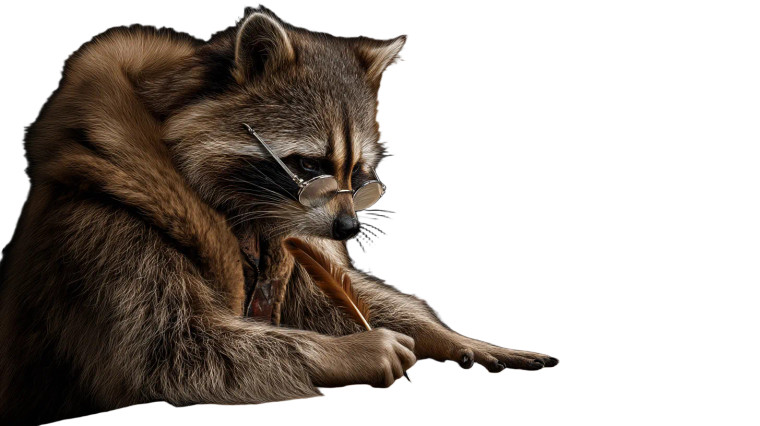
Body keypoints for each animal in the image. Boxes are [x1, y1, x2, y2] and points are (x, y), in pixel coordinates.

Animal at [0, 7, 557, 425]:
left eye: (360, 175)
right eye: (309, 165)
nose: (350, 228)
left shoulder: (293, 239)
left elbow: (325, 297)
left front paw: (443, 332)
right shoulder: (107, 228)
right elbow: (179, 351)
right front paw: (357, 349)